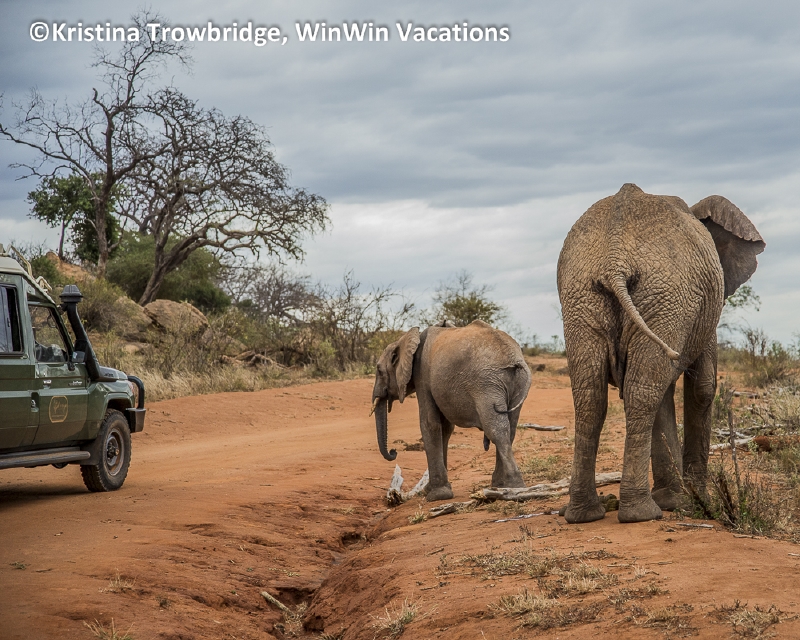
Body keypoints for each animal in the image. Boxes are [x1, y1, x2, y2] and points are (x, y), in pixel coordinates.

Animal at [371, 320, 532, 501]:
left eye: (379, 370)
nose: (394, 452)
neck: (406, 339)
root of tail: (514, 359)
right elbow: (445, 429)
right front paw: (430, 489)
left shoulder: (422, 375)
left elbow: (429, 423)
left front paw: (436, 496)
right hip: (514, 383)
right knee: (511, 428)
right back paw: (501, 486)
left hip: (486, 384)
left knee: (497, 430)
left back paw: (514, 487)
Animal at [557, 183, 764, 524]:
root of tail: (614, 259)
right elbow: (703, 388)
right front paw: (695, 501)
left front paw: (675, 498)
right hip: (667, 295)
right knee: (642, 393)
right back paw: (641, 513)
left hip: (583, 296)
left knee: (592, 397)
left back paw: (583, 514)